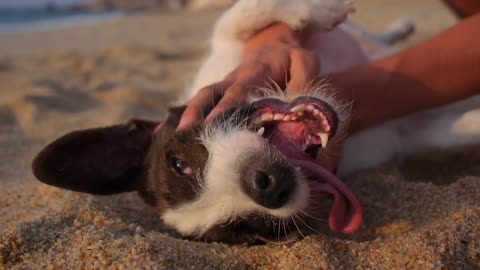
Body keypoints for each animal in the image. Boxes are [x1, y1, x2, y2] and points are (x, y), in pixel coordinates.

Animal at [32, 0, 480, 244]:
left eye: (180, 163)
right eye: (247, 229)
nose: (266, 187)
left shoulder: (231, 49)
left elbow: (237, 18)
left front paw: (320, 9)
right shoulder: (408, 133)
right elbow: (458, 128)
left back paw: (395, 27)